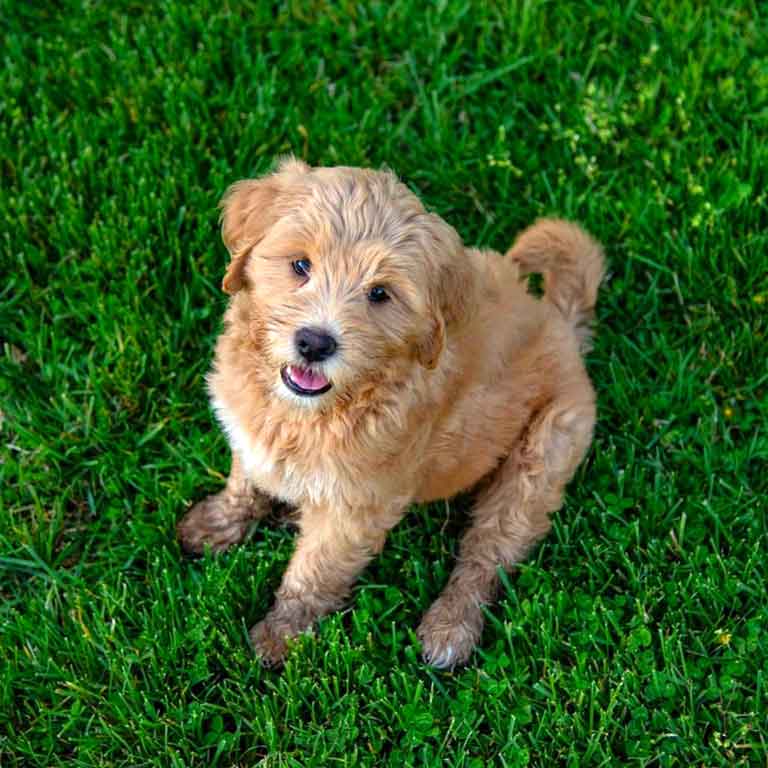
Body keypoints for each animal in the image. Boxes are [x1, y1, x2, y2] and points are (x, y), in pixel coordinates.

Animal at [177, 159, 604, 668]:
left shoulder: (356, 508)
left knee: (489, 550)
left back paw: (449, 629)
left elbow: (315, 570)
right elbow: (244, 481)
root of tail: (563, 325)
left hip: (544, 453)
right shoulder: (251, 431)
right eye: (300, 265)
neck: (311, 411)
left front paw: (282, 636)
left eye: (379, 293)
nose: (314, 343)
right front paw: (213, 525)